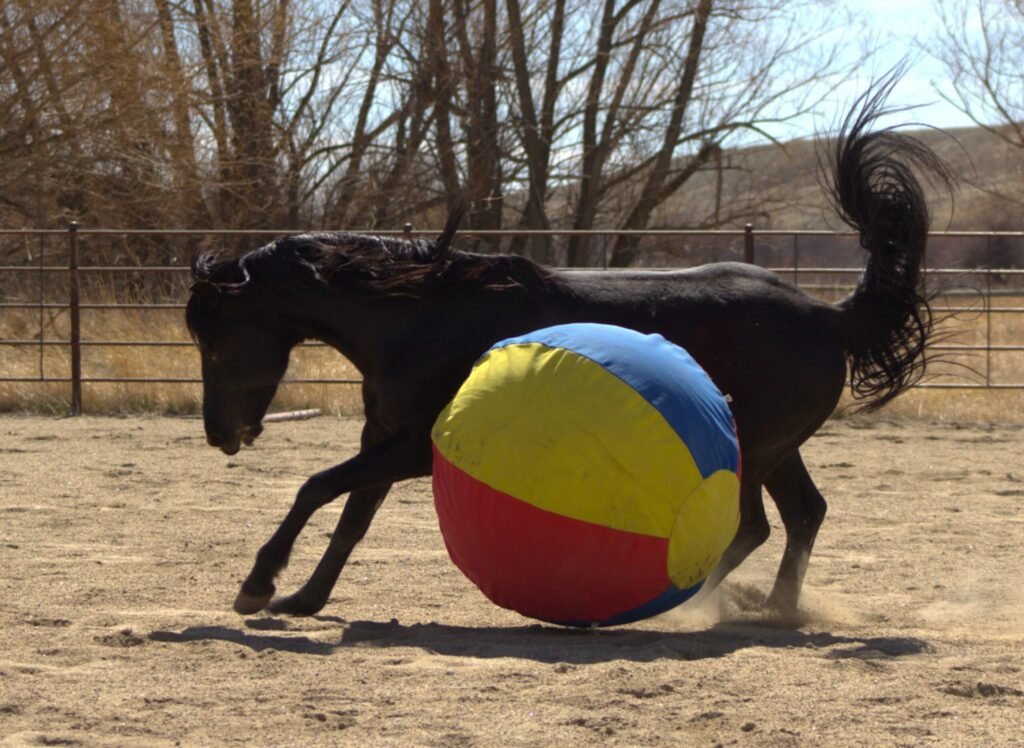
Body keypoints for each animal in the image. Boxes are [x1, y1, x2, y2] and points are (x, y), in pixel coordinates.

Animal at [186, 78, 952, 619]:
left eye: (216, 343)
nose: (222, 436)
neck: (420, 313)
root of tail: (831, 315)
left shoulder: (409, 448)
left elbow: (316, 487)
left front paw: (258, 585)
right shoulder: (383, 439)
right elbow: (350, 519)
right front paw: (302, 599)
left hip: (757, 448)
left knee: (756, 525)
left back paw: (705, 606)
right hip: (778, 448)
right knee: (801, 515)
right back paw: (774, 609)